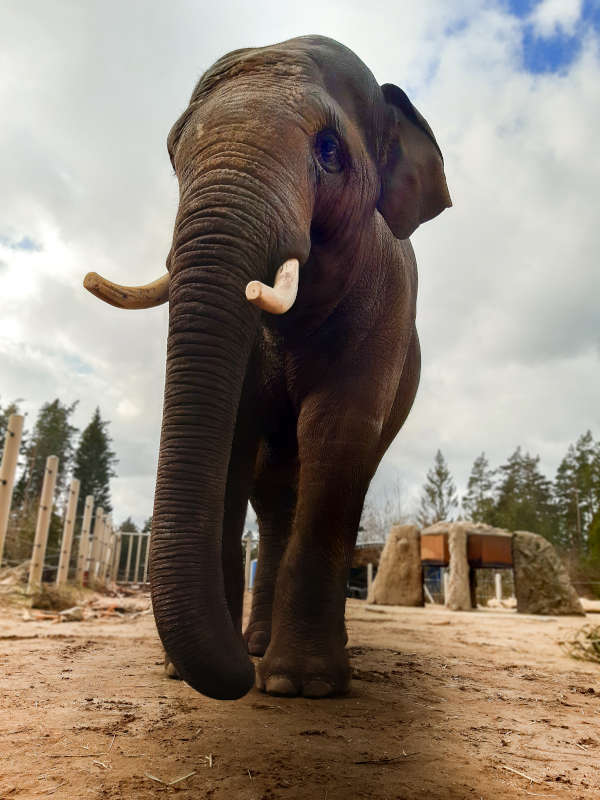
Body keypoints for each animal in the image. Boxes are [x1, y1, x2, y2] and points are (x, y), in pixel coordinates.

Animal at [84, 34, 450, 700]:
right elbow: (234, 430)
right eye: (173, 151)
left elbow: (337, 431)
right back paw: (255, 645)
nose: (237, 679)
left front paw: (303, 686)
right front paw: (188, 670)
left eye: (329, 150)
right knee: (275, 494)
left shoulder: (387, 303)